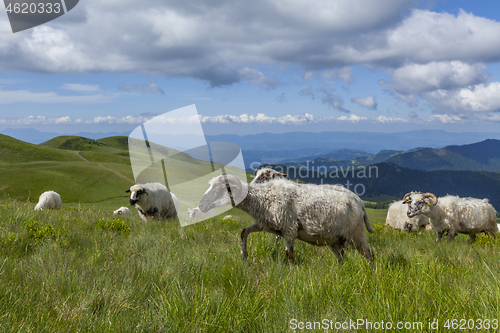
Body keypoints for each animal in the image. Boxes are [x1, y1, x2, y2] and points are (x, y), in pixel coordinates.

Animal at [197, 172, 374, 264]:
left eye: (219, 189)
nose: (201, 205)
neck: (263, 197)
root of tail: (359, 202)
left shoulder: (289, 229)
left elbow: (289, 254)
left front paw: (292, 273)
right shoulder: (265, 224)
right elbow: (244, 232)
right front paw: (244, 256)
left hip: (356, 234)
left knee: (369, 254)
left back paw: (371, 273)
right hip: (336, 240)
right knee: (342, 258)